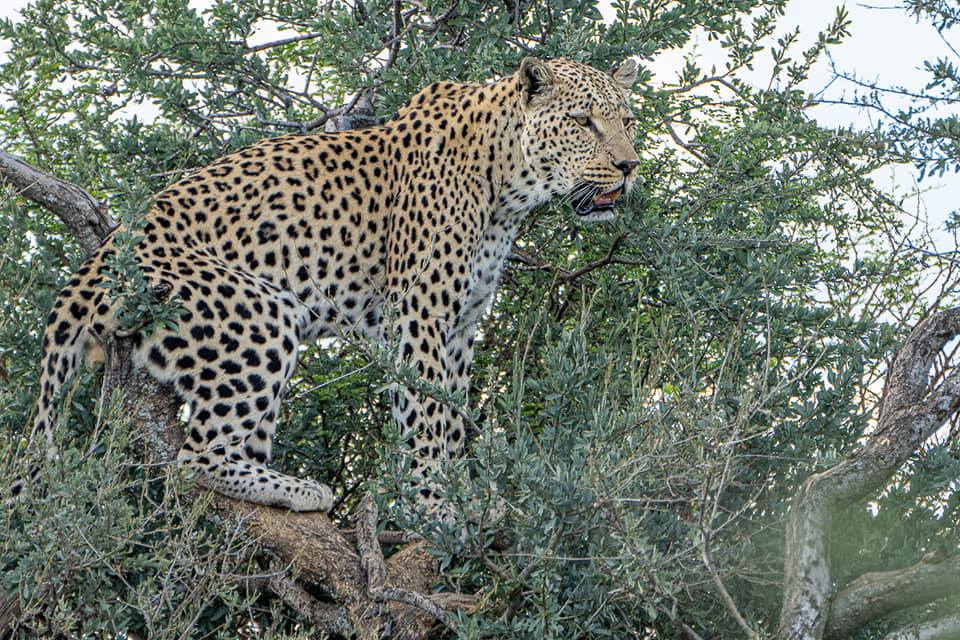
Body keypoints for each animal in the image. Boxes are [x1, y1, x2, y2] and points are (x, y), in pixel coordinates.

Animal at [13, 57, 636, 512]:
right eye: (583, 121)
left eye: (627, 122)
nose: (630, 166)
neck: (507, 184)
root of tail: (94, 264)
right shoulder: (418, 314)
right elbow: (426, 414)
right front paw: (433, 506)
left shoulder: (462, 323)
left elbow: (454, 413)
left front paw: (461, 491)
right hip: (262, 312)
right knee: (195, 459)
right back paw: (298, 489)